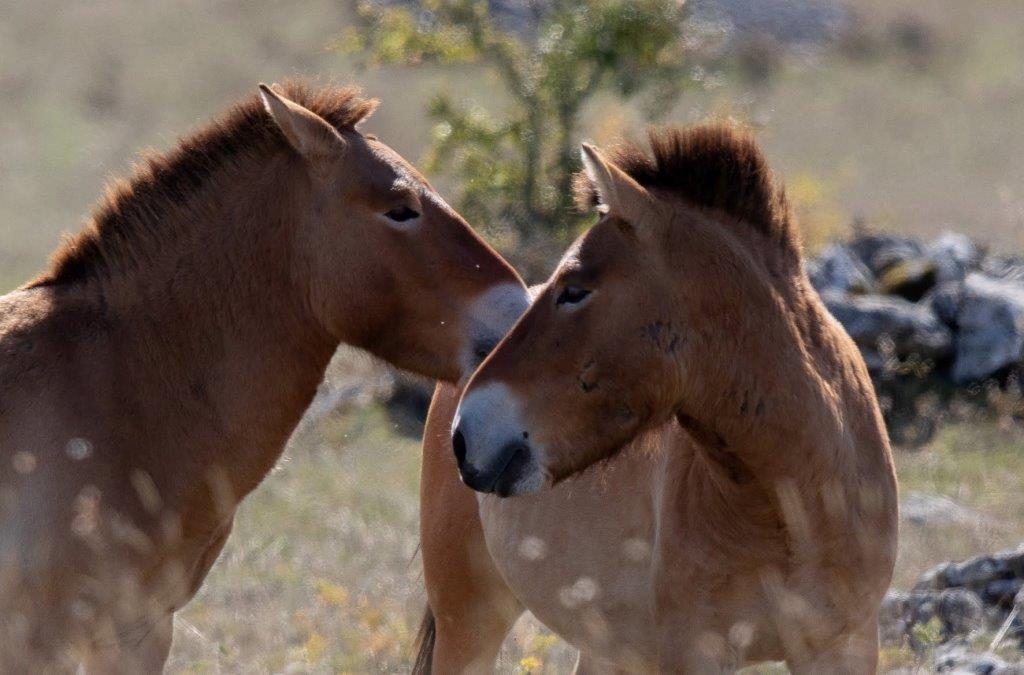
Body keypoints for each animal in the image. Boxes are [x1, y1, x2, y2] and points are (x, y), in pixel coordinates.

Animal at [416, 124, 899, 673]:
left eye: (575, 289)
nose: (467, 433)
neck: (795, 509)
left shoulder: (844, 646)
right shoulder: (696, 653)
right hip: (469, 620)